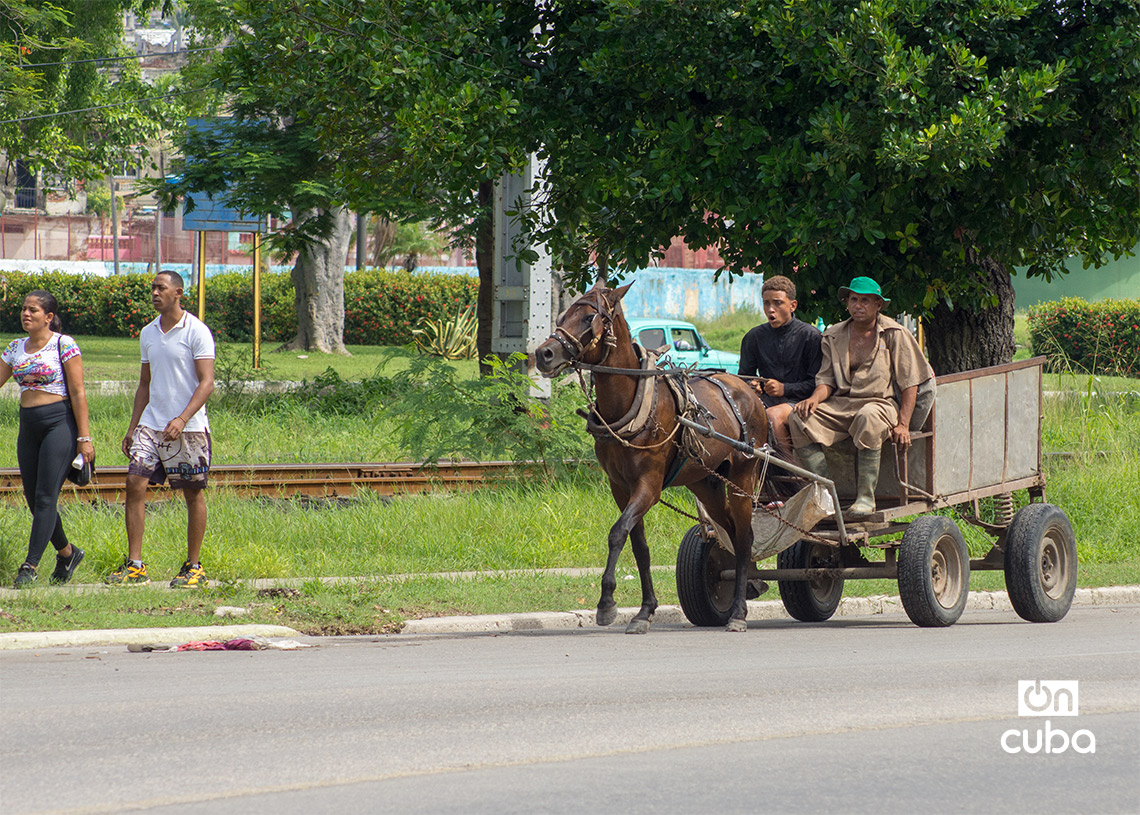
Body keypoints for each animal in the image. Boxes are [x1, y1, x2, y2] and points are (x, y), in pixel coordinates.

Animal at [535, 281, 771, 633]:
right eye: (562, 315)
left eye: (589, 317)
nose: (544, 354)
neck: (631, 405)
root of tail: (750, 393)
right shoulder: (620, 486)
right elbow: (639, 546)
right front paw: (645, 611)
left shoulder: (649, 484)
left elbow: (617, 532)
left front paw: (606, 603)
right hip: (706, 482)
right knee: (727, 529)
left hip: (743, 477)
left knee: (743, 537)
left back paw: (739, 613)